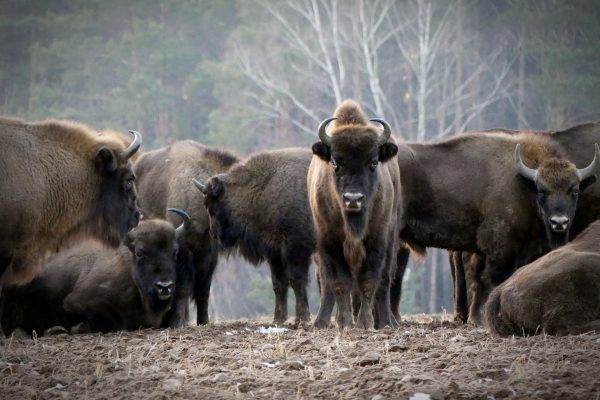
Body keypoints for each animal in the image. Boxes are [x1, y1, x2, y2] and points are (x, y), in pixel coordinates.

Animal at [134, 139, 239, 324]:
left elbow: (203, 292)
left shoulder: (209, 255)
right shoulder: (183, 250)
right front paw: (177, 323)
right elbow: (183, 288)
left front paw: (203, 322)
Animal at [193, 148, 316, 326]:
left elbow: (297, 280)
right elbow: (279, 283)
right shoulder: (274, 253)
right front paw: (278, 320)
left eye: (211, 206)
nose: (213, 234)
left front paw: (302, 320)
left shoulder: (295, 249)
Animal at [308, 100, 400, 332]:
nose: (353, 199)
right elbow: (340, 282)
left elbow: (369, 281)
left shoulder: (377, 239)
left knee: (384, 280)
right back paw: (322, 322)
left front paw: (365, 323)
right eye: (335, 163)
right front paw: (344, 323)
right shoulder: (329, 241)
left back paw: (386, 322)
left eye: (373, 162)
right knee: (329, 284)